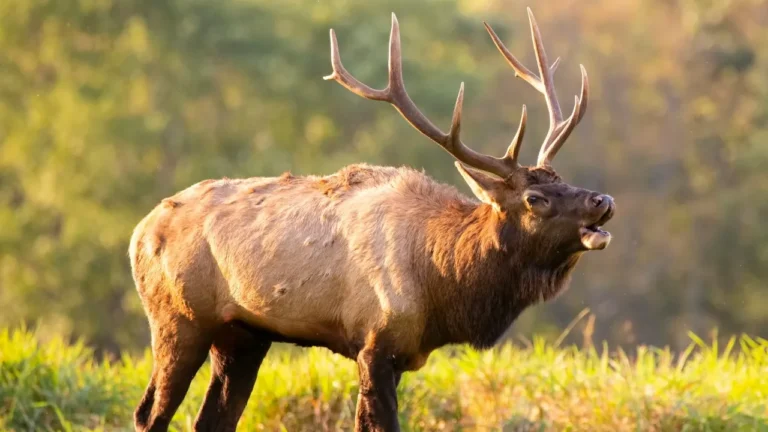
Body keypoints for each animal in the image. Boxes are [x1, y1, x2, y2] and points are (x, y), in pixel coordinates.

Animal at [129, 8, 615, 432]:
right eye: (535, 198)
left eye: (564, 180)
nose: (603, 200)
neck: (443, 284)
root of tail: (138, 233)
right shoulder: (375, 341)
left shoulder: (398, 354)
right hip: (178, 317)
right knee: (149, 412)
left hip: (242, 335)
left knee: (211, 419)